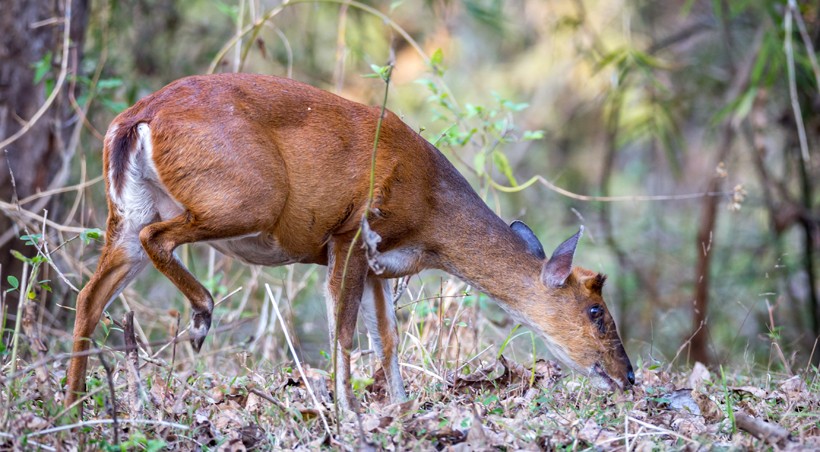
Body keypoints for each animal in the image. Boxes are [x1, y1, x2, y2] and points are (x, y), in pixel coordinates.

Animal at [67, 74, 636, 414]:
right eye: (596, 311)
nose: (628, 375)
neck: (431, 215)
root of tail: (134, 119)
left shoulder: (381, 263)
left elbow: (386, 338)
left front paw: (400, 408)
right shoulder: (351, 232)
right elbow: (342, 332)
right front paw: (348, 411)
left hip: (129, 209)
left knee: (89, 296)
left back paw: (72, 404)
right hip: (247, 196)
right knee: (155, 240)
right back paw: (202, 314)